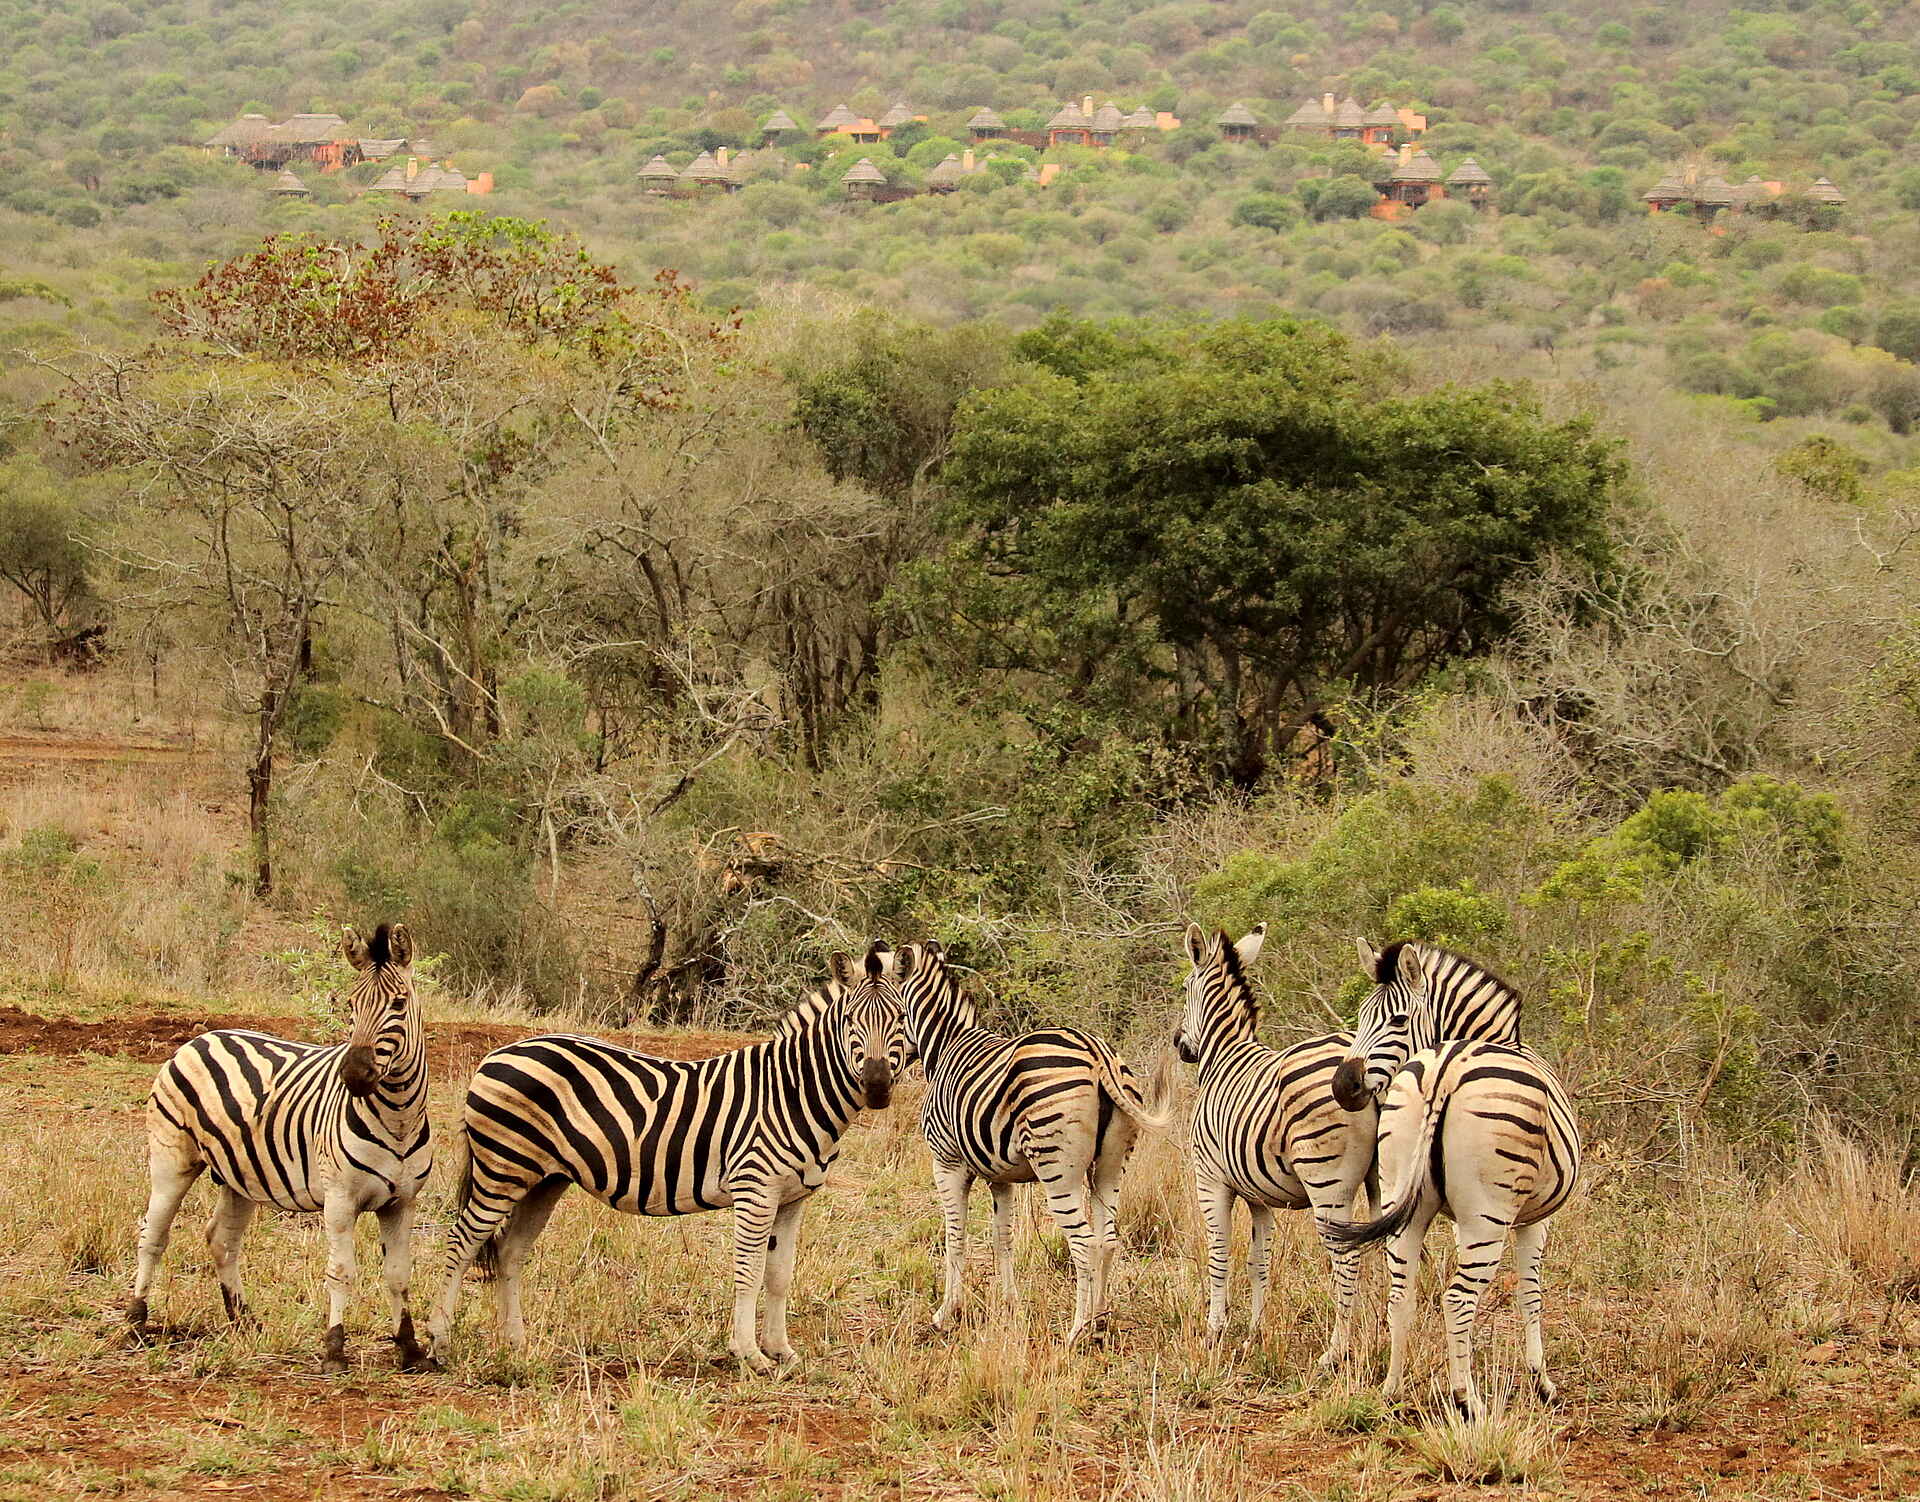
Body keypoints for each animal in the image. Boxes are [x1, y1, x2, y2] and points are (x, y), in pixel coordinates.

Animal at [129, 923, 432, 1373]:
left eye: (399, 1003)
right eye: (350, 1004)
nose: (354, 1075)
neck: (399, 1119)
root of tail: (202, 1036)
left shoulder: (403, 1201)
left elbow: (398, 1274)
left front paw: (410, 1349)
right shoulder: (339, 1199)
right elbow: (341, 1271)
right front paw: (334, 1350)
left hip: (239, 1175)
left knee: (221, 1239)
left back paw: (243, 1320)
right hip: (172, 1159)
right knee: (153, 1233)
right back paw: (135, 1321)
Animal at [425, 945, 909, 1372]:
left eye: (901, 1018)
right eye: (850, 1020)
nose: (877, 1086)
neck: (793, 1091)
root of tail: (496, 1053)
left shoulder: (793, 1199)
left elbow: (779, 1275)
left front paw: (781, 1351)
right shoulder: (755, 1189)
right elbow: (749, 1272)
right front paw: (749, 1355)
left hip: (544, 1179)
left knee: (508, 1251)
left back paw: (517, 1344)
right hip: (501, 1168)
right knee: (461, 1243)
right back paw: (439, 1343)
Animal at [881, 940, 1174, 1344]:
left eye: (886, 1012)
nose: (878, 1077)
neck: (946, 1044)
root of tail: (1096, 1053)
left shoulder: (947, 1162)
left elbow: (954, 1237)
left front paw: (945, 1314)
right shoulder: (999, 1177)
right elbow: (1002, 1238)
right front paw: (1010, 1305)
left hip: (1058, 1169)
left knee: (1084, 1243)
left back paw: (1076, 1331)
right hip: (1111, 1166)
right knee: (1108, 1239)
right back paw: (1100, 1323)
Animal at [1173, 923, 1377, 1363]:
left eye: (1184, 987)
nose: (1180, 1045)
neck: (1225, 1056)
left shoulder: (1210, 1180)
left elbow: (1219, 1254)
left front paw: (1214, 1330)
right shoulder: (1259, 1196)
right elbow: (1258, 1261)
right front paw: (1255, 1333)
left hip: (1328, 1182)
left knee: (1348, 1257)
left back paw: (1336, 1352)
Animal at [1328, 1037, 1582, 1415]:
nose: (1345, 1087)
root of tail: (1443, 1072)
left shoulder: (1459, 1225)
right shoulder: (1533, 1221)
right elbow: (1530, 1295)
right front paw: (1542, 1385)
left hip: (1402, 1197)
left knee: (1400, 1297)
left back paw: (1392, 1390)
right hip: (1487, 1212)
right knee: (1458, 1299)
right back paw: (1467, 1399)